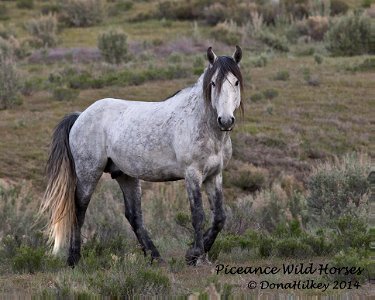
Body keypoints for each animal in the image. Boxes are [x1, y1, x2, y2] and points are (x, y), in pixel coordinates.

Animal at [41, 46, 245, 268]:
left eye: (236, 82)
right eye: (214, 83)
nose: (225, 120)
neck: (202, 123)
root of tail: (81, 115)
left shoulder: (214, 176)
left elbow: (219, 217)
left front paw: (198, 252)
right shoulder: (193, 175)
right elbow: (198, 214)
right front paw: (194, 254)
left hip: (125, 176)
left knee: (134, 216)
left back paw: (155, 256)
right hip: (89, 173)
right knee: (79, 209)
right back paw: (73, 259)